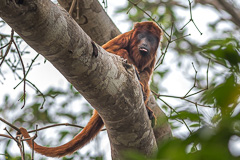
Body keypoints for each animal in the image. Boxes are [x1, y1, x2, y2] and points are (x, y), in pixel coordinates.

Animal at [18, 21, 161, 158]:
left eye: (150, 39)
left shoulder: (152, 58)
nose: (145, 43)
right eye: (141, 36)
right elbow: (107, 49)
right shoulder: (125, 37)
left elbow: (146, 75)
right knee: (122, 53)